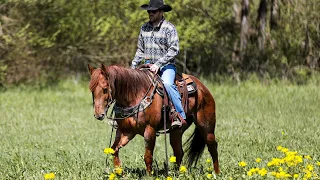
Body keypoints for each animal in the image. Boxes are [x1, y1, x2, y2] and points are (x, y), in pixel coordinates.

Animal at [87, 64, 220, 175]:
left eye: (105, 88)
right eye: (91, 90)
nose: (98, 114)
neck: (135, 95)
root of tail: (203, 88)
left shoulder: (149, 130)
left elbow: (148, 156)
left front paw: (149, 175)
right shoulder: (126, 131)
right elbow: (113, 150)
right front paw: (119, 172)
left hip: (206, 126)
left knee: (212, 146)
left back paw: (217, 173)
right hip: (177, 130)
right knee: (178, 151)